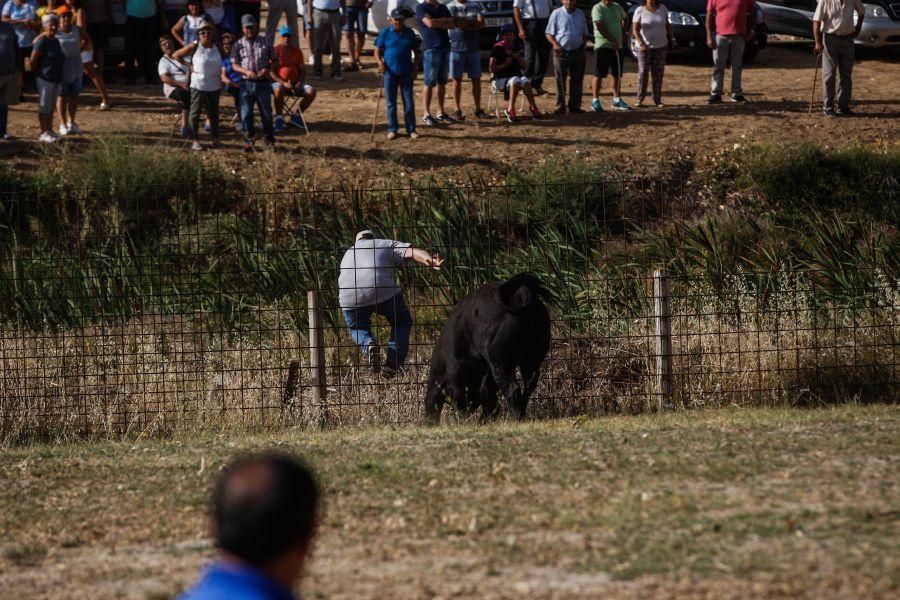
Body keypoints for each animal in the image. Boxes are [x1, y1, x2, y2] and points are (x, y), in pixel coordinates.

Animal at [426, 274, 552, 422]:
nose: (464, 415)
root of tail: (520, 295)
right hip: (531, 359)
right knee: (529, 384)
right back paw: (520, 415)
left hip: (500, 363)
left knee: (513, 389)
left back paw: (513, 419)